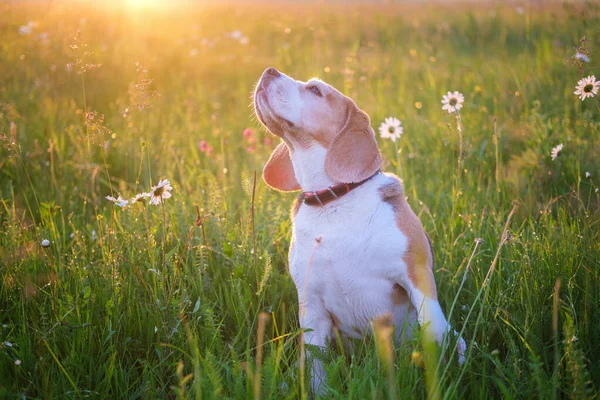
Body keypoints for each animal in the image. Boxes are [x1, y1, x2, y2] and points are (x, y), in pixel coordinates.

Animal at [252, 69, 464, 394]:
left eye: (315, 90)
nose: (268, 71)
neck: (334, 201)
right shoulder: (311, 303)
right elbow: (316, 366)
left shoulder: (415, 272)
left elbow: (433, 326)